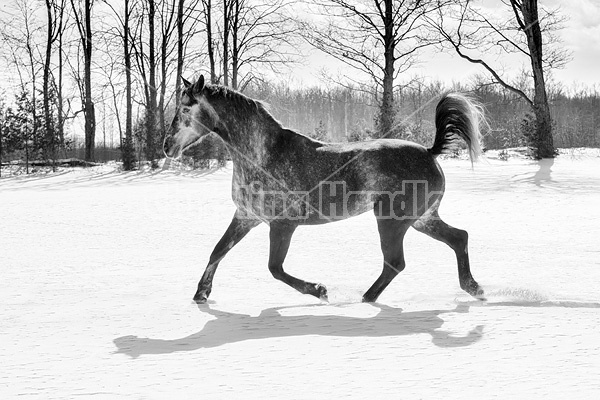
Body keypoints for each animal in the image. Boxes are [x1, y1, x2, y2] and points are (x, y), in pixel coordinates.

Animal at [164, 75, 488, 304]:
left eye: (185, 108)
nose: (167, 147)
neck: (262, 156)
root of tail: (430, 152)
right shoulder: (246, 217)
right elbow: (218, 251)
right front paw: (201, 294)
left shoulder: (282, 225)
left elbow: (274, 268)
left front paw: (319, 290)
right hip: (422, 219)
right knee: (458, 238)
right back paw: (474, 288)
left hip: (392, 221)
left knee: (396, 262)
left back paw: (365, 298)